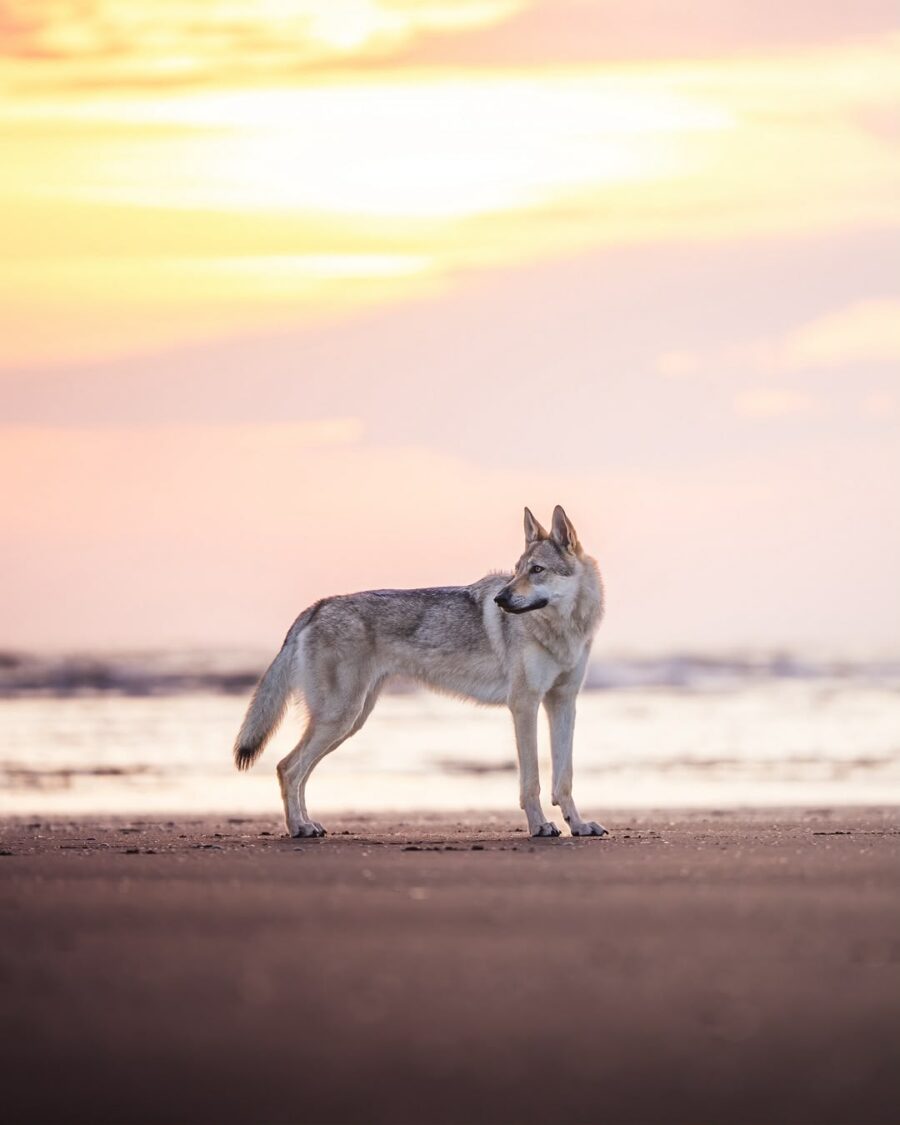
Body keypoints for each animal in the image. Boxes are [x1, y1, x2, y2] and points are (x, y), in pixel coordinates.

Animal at [233, 505, 607, 839]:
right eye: (517, 570)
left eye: (537, 569)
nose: (500, 599)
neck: (563, 629)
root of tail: (317, 606)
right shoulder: (524, 705)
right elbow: (532, 782)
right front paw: (540, 826)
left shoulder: (562, 703)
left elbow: (564, 779)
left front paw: (578, 825)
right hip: (340, 718)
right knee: (287, 767)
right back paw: (299, 828)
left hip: (350, 721)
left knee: (298, 771)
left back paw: (309, 825)